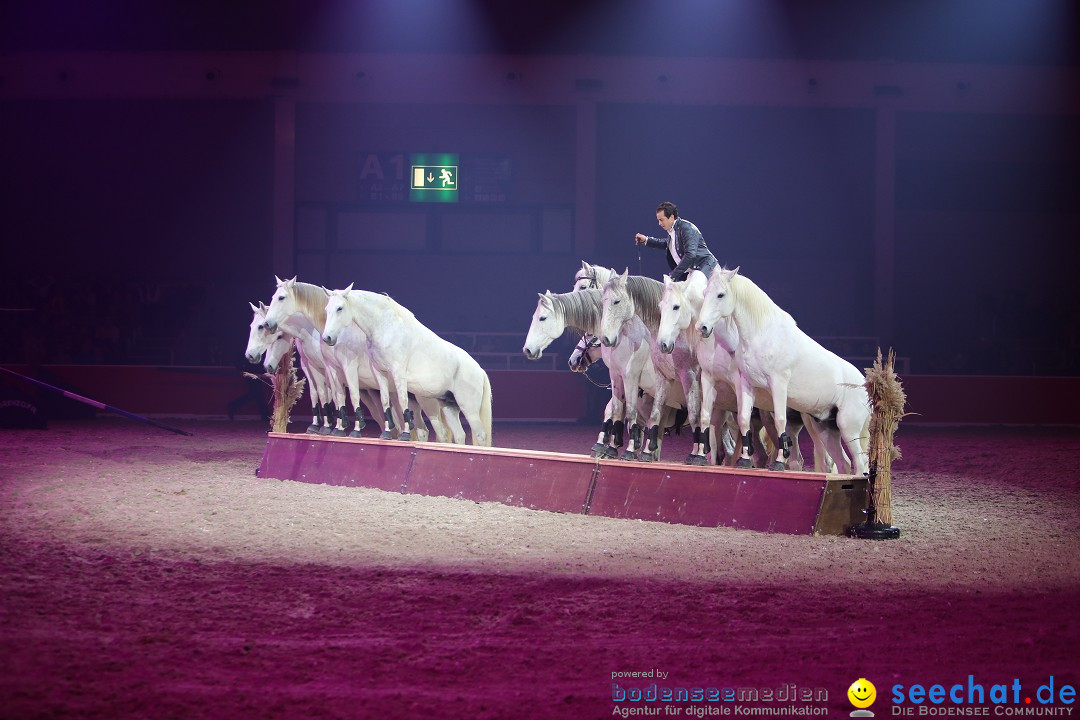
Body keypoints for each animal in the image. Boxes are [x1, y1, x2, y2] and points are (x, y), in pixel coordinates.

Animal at [317, 284, 492, 444]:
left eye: (340, 308)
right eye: (326, 309)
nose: (327, 338)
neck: (386, 327)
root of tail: (479, 370)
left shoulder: (398, 373)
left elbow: (403, 402)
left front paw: (406, 435)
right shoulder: (380, 373)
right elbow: (385, 401)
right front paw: (386, 434)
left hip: (469, 409)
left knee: (480, 435)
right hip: (449, 406)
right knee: (460, 435)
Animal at [699, 267, 868, 474]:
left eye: (721, 295)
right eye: (704, 293)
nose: (702, 327)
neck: (764, 334)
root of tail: (865, 384)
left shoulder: (778, 385)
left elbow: (781, 422)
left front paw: (779, 463)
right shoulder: (747, 384)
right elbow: (744, 420)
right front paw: (744, 461)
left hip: (848, 428)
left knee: (860, 462)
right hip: (827, 430)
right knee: (844, 462)